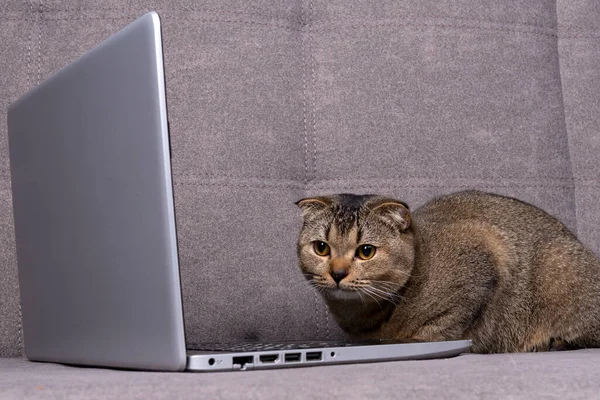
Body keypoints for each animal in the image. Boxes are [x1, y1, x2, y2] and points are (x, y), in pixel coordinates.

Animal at [294, 191, 600, 354]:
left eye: (366, 251)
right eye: (321, 248)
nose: (337, 273)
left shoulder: (485, 251)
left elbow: (444, 328)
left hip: (559, 266)